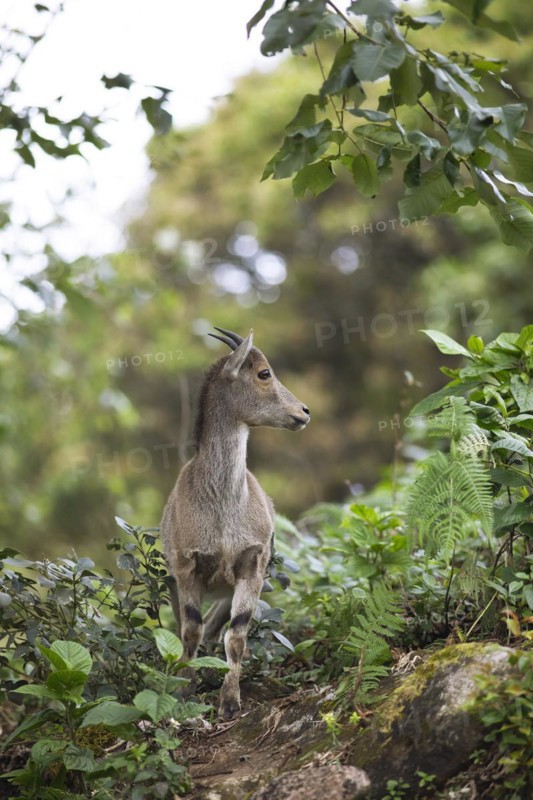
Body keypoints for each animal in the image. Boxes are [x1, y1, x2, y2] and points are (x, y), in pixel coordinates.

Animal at [161, 327, 310, 719]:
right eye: (264, 373)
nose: (304, 412)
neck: (223, 507)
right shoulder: (186, 566)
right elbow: (190, 631)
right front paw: (185, 690)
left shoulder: (251, 565)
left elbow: (237, 635)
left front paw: (229, 703)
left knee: (218, 627)